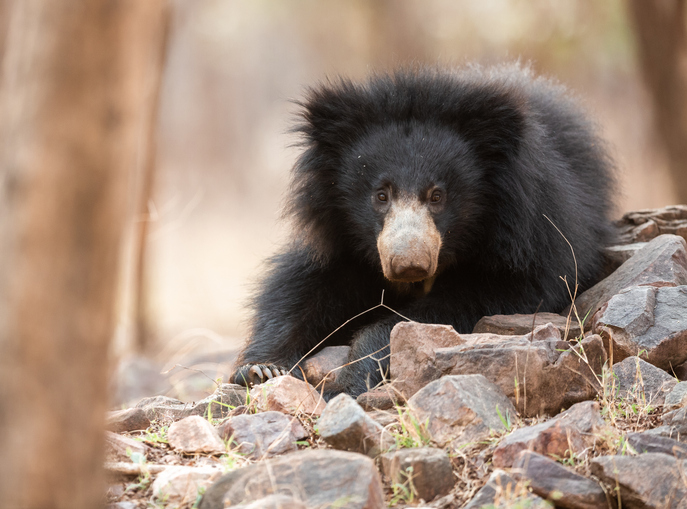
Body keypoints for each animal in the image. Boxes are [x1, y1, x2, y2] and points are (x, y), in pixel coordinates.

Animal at [230, 63, 612, 396]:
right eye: (381, 195)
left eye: (437, 195)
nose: (408, 263)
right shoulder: (342, 241)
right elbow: (301, 290)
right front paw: (262, 369)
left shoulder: (530, 242)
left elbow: (468, 303)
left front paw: (351, 379)